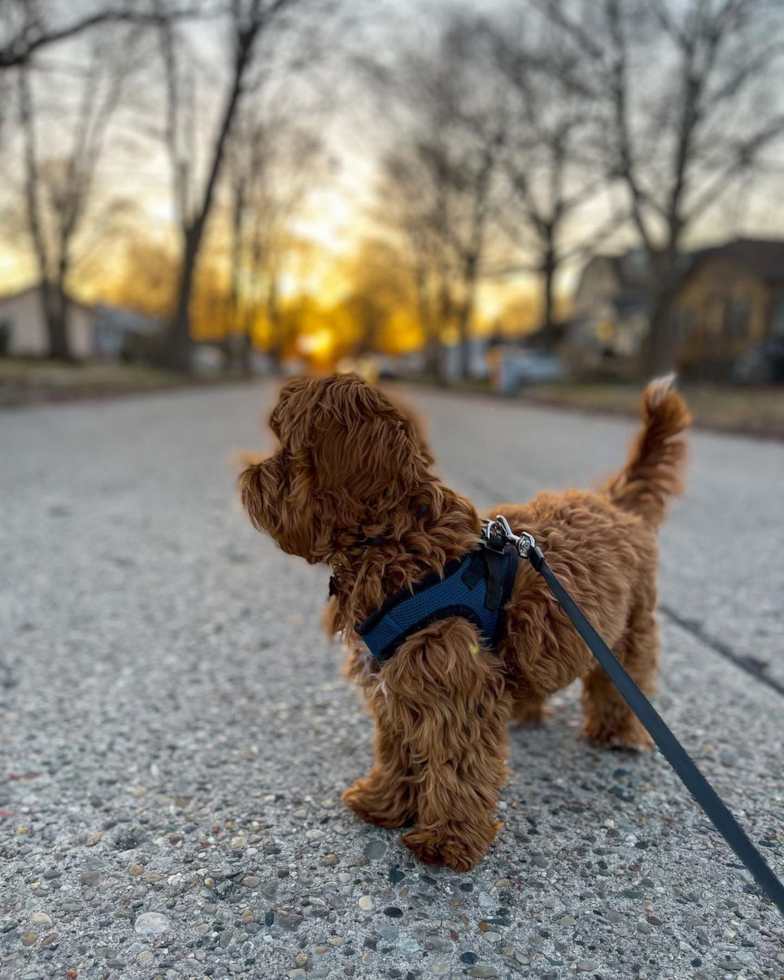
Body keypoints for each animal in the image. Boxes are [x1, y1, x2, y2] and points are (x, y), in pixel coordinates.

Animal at [236, 372, 688, 868]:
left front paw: (446, 839)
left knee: (622, 681)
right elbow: (398, 751)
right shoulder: (397, 686)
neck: (396, 543)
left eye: (287, 448)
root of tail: (613, 503)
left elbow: (455, 768)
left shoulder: (452, 688)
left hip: (628, 630)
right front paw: (384, 803)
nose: (248, 476)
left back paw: (617, 732)